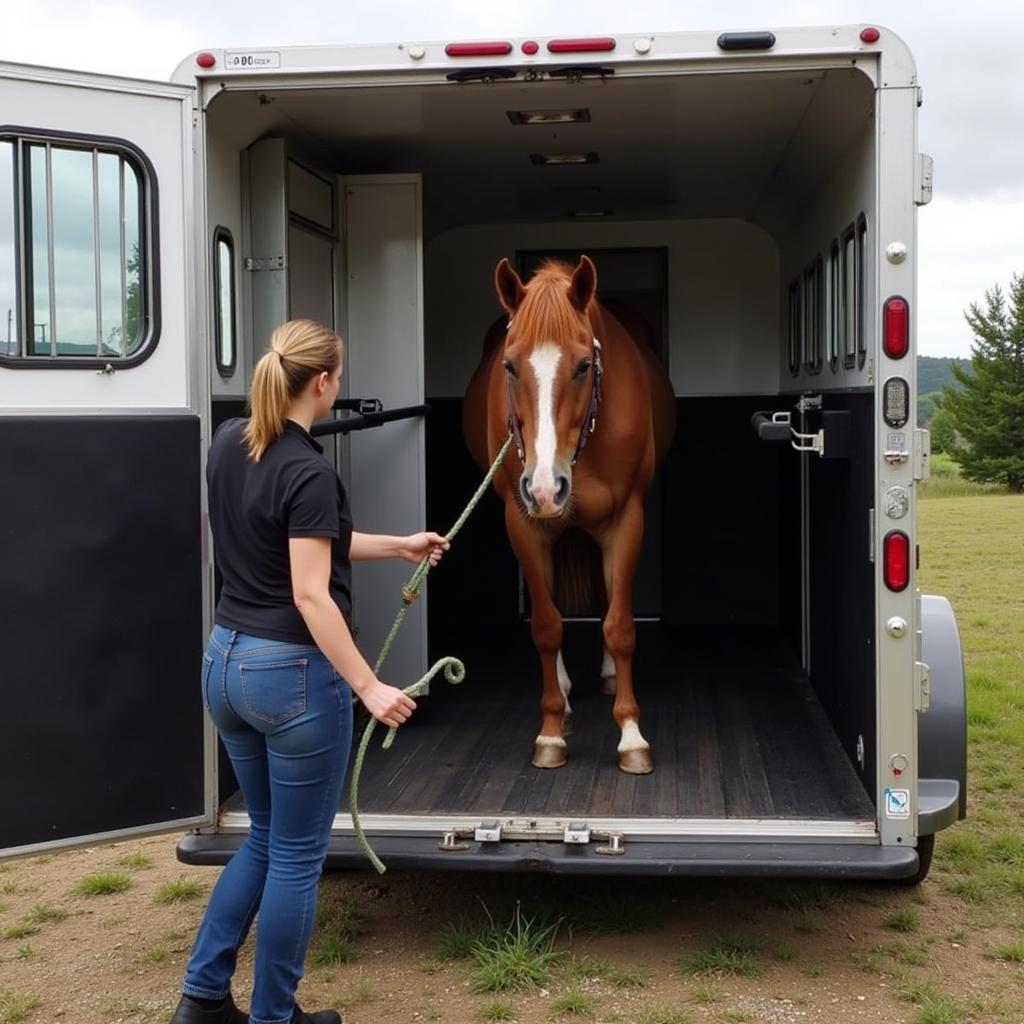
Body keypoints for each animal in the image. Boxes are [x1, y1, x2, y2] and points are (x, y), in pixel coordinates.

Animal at [462, 258, 671, 774]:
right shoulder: (524, 523)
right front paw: (552, 731)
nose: (544, 486)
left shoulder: (626, 520)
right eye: (509, 365)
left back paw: (608, 676)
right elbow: (546, 626)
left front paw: (631, 736)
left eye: (583, 365)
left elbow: (619, 626)